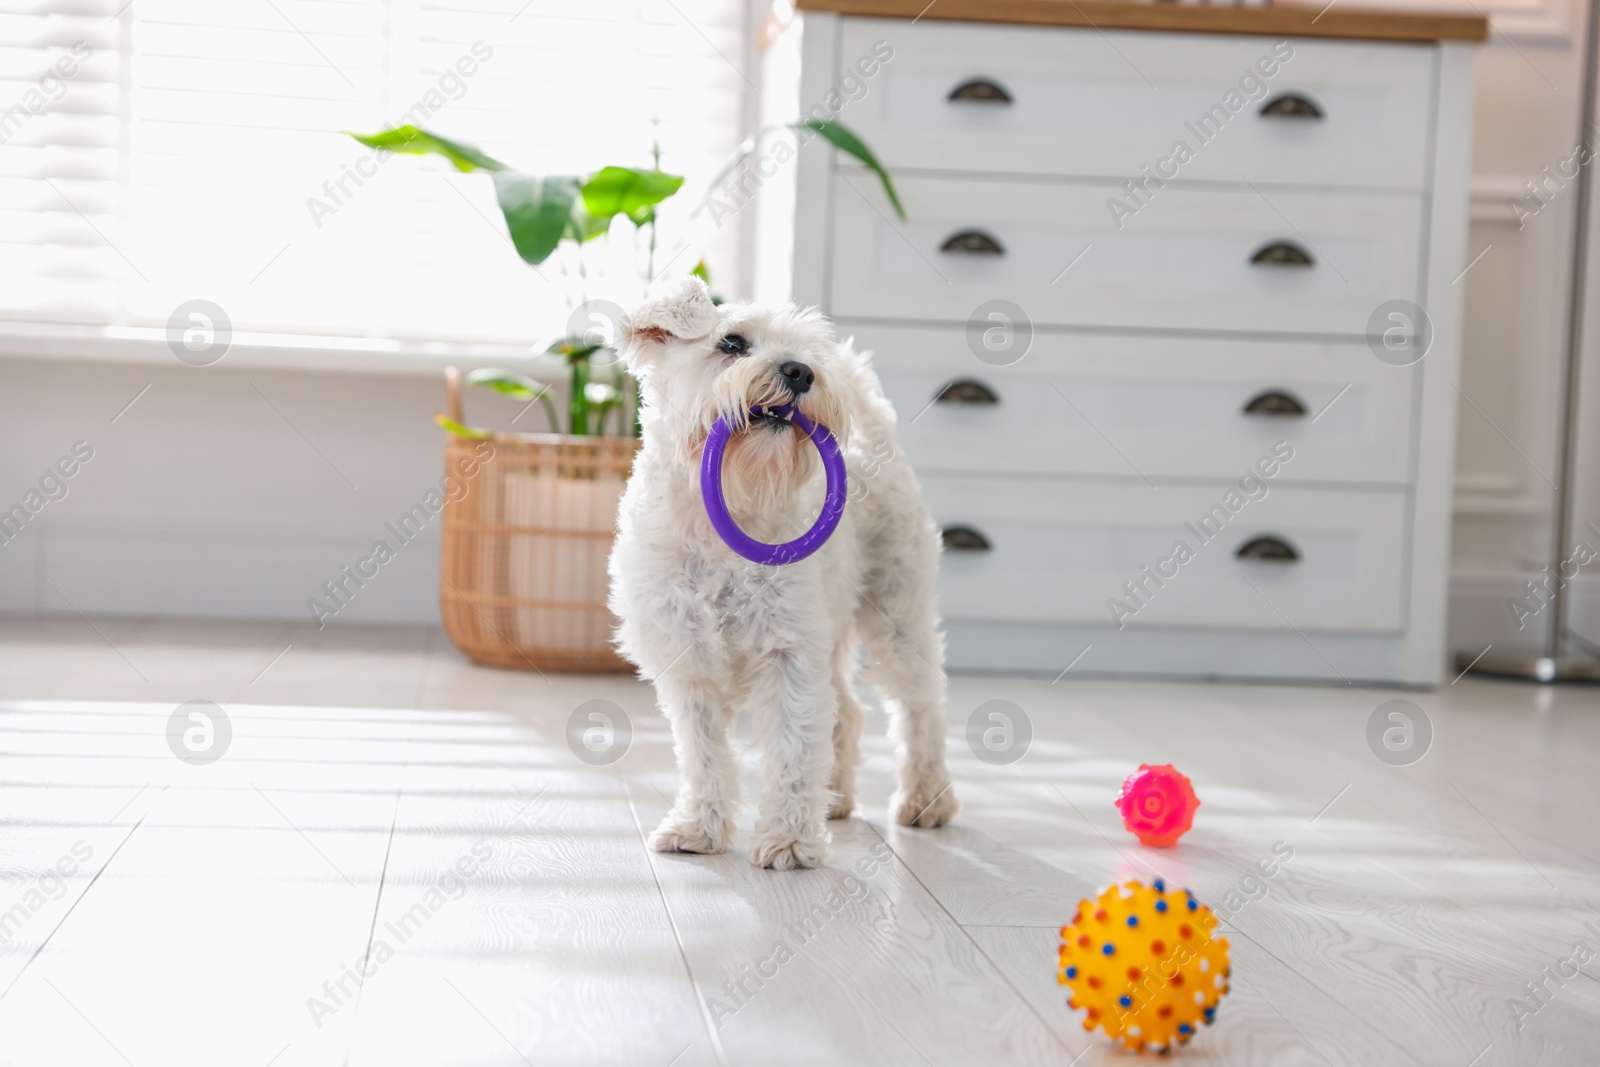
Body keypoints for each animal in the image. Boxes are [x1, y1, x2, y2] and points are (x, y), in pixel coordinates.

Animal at [604, 275, 953, 870]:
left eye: (806, 352)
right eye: (732, 343)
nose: (801, 372)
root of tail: (876, 443)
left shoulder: (789, 655)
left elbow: (793, 746)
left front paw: (788, 842)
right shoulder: (688, 666)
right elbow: (704, 755)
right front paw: (698, 830)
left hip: (897, 619)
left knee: (920, 706)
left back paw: (926, 802)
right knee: (849, 712)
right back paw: (834, 799)